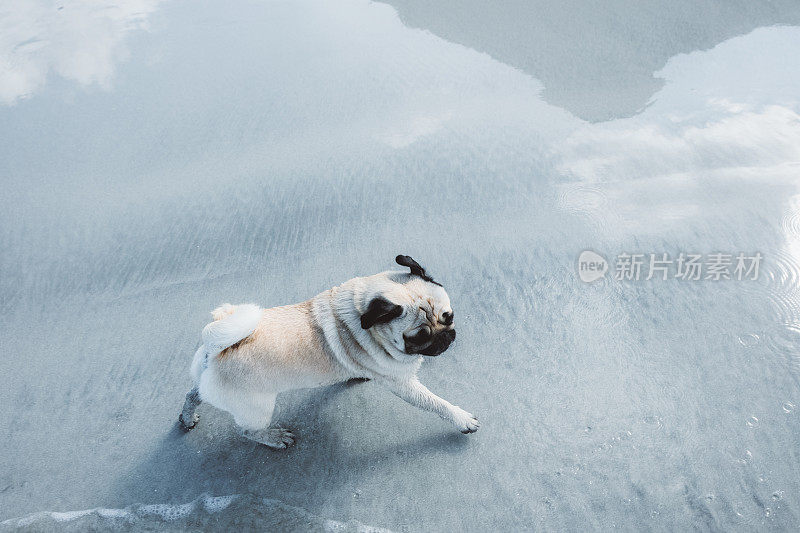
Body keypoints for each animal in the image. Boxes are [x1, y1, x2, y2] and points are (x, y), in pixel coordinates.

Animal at [179, 256, 478, 446]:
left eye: (449, 316)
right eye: (418, 337)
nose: (446, 337)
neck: (363, 316)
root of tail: (215, 348)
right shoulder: (401, 383)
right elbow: (434, 403)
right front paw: (461, 418)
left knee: (193, 394)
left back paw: (187, 417)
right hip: (257, 407)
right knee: (246, 431)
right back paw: (272, 438)